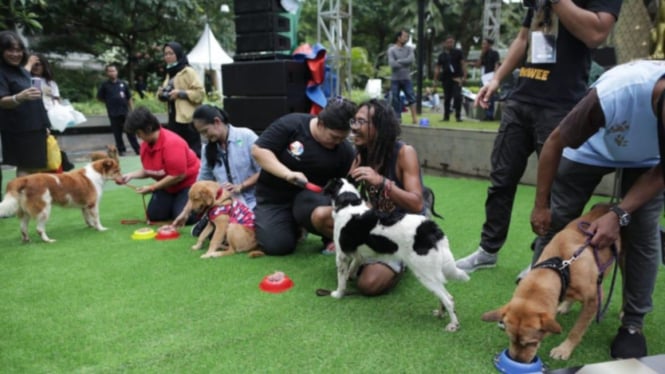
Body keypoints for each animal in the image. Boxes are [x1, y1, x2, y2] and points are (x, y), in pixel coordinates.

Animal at [324, 179, 470, 334]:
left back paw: (453, 325)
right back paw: (440, 313)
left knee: (449, 299)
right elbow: (352, 268)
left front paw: (338, 294)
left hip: (425, 273)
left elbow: (341, 280)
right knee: (443, 295)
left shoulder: (341, 255)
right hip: (432, 274)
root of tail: (431, 228)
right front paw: (350, 277)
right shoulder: (358, 254)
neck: (348, 202)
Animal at [480, 203, 620, 364]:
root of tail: (609, 205)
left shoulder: (595, 298)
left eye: (531, 342)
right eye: (511, 339)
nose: (517, 361)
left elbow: (577, 330)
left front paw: (564, 349)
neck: (560, 266)